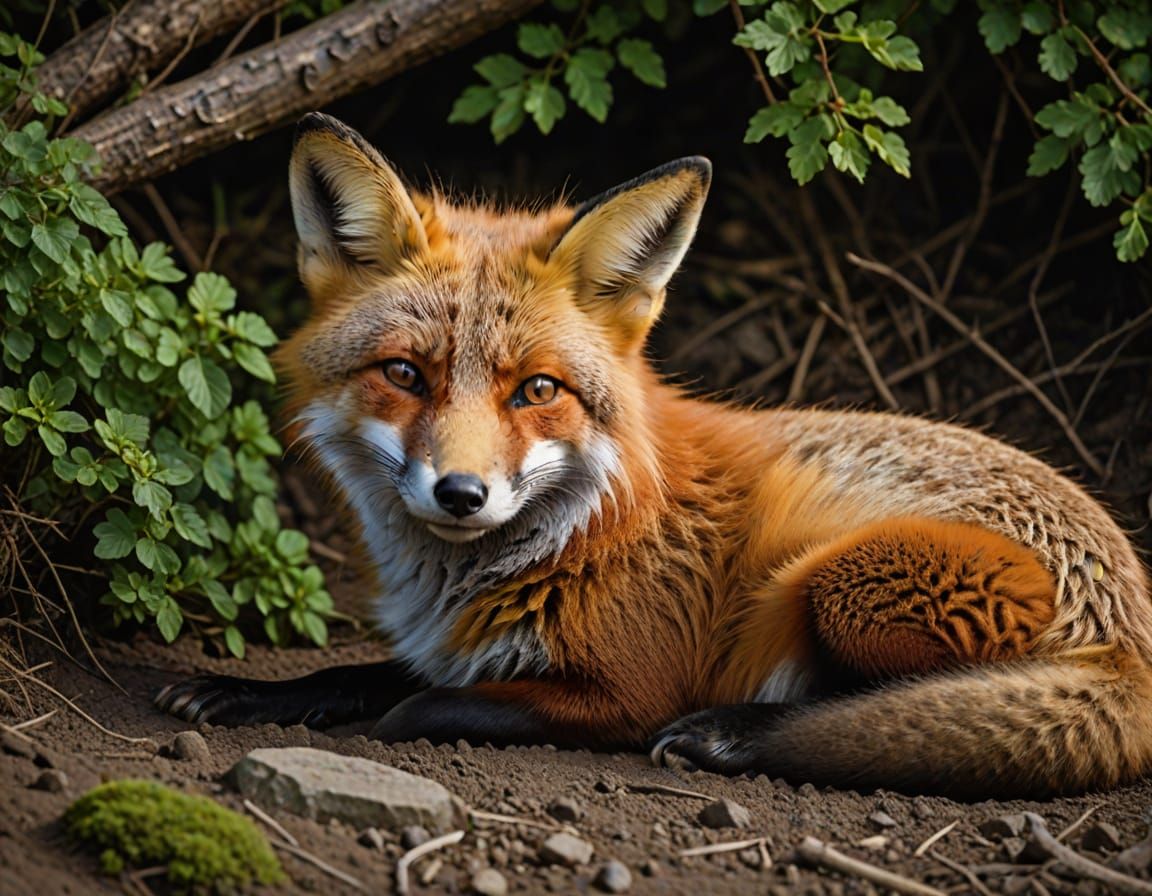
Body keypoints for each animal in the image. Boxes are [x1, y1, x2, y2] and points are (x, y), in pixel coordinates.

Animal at [157, 112, 1152, 799]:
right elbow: (364, 670)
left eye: (537, 390)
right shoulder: (459, 643)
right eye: (404, 372)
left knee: (871, 707)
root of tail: (1131, 616)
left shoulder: (624, 689)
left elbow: (424, 703)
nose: (462, 493)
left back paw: (729, 734)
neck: (578, 525)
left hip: (842, 576)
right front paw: (251, 695)